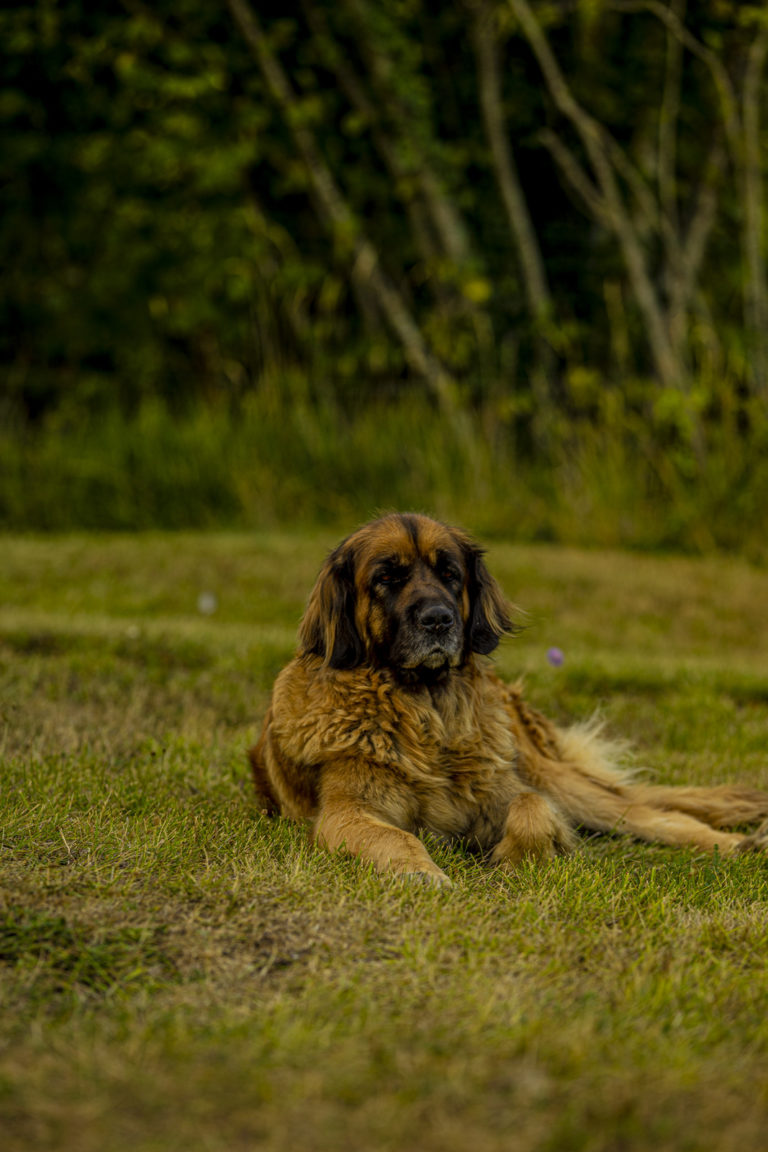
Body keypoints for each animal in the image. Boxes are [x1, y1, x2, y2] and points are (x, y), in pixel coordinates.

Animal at [249, 513, 768, 884]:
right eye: (387, 579)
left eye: (451, 575)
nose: (438, 619)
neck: (428, 710)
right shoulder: (347, 811)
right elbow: (395, 839)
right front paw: (421, 873)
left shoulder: (506, 789)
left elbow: (531, 808)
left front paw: (519, 857)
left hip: (556, 777)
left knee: (652, 814)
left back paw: (731, 844)